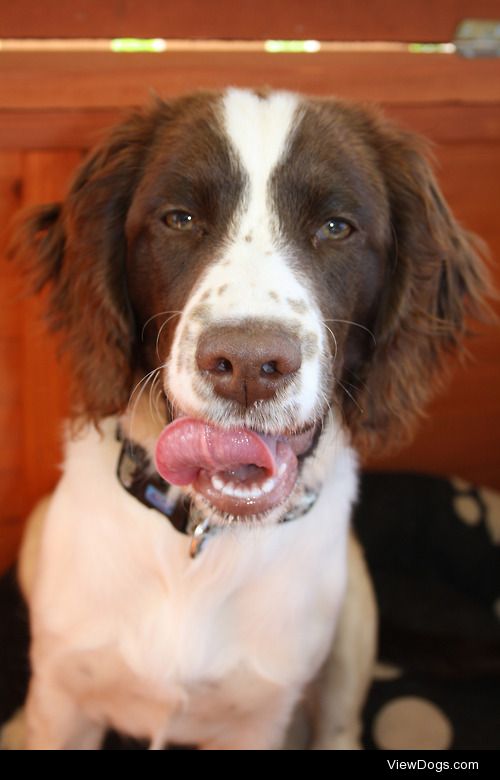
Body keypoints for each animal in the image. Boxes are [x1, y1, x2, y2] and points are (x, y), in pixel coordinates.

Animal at [0, 87, 488, 748]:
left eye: (336, 227)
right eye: (179, 218)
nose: (250, 365)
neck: (203, 541)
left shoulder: (258, 719)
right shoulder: (66, 694)